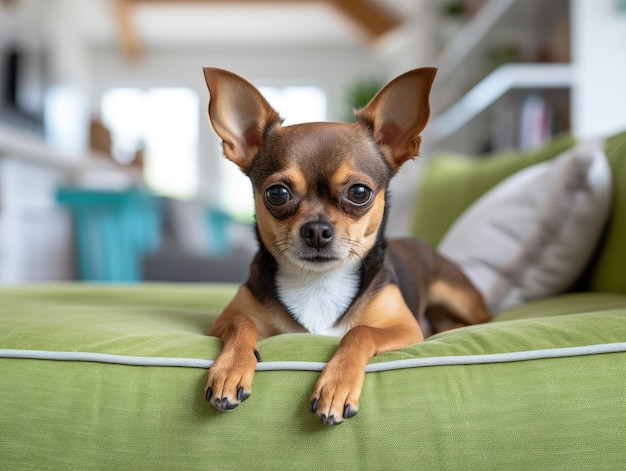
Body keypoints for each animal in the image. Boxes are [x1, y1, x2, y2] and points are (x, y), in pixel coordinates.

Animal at [200, 68, 488, 426]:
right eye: (277, 194)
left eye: (359, 192)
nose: (316, 230)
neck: (319, 281)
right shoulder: (224, 320)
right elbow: (243, 322)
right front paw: (230, 369)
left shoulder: (405, 328)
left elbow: (360, 331)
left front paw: (336, 385)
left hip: (455, 294)